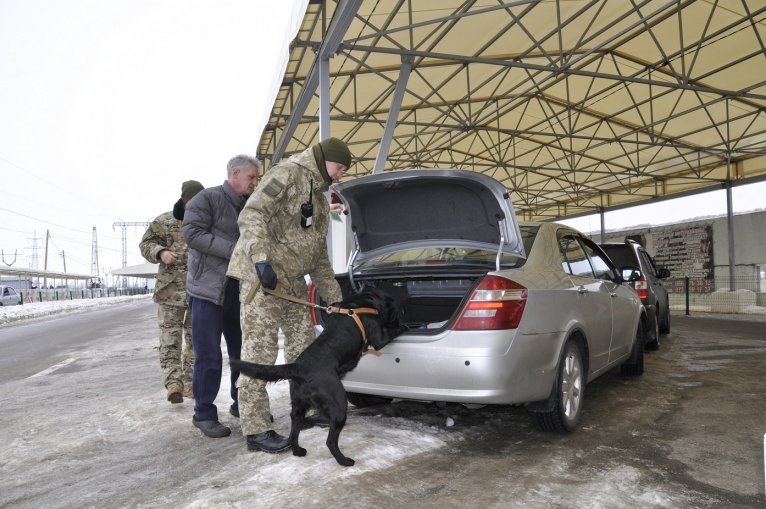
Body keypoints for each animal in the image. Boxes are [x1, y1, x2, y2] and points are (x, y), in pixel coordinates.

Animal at [230, 286, 404, 464]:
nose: (401, 316)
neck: (363, 302)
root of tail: (299, 367)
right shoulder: (379, 338)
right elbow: (394, 331)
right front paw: (404, 326)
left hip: (298, 408)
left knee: (294, 434)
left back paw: (298, 451)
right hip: (339, 404)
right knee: (330, 441)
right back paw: (344, 461)